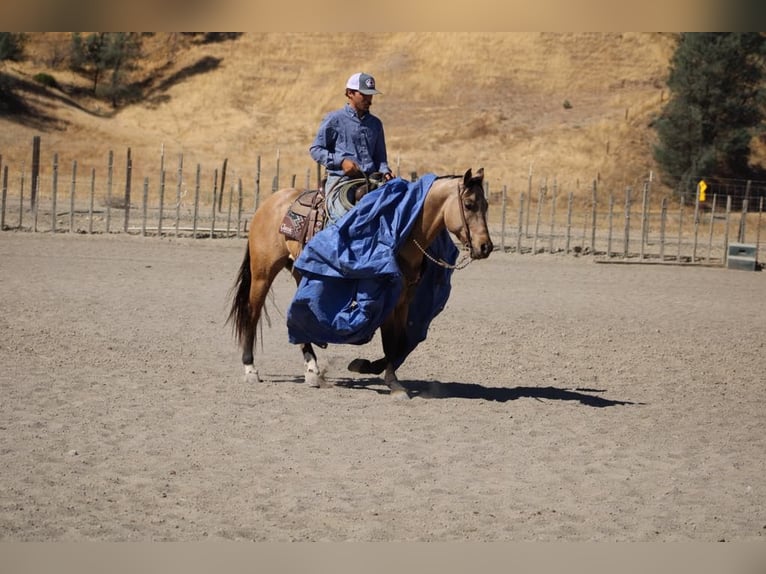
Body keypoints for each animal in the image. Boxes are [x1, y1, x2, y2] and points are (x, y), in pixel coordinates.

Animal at [228, 168, 493, 399]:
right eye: (469, 205)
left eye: (487, 205)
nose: (485, 247)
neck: (402, 232)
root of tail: (271, 201)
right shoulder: (384, 296)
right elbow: (391, 341)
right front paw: (376, 373)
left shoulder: (403, 299)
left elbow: (400, 342)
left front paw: (380, 374)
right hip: (263, 272)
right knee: (252, 312)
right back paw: (251, 369)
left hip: (299, 273)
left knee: (299, 314)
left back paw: (312, 370)